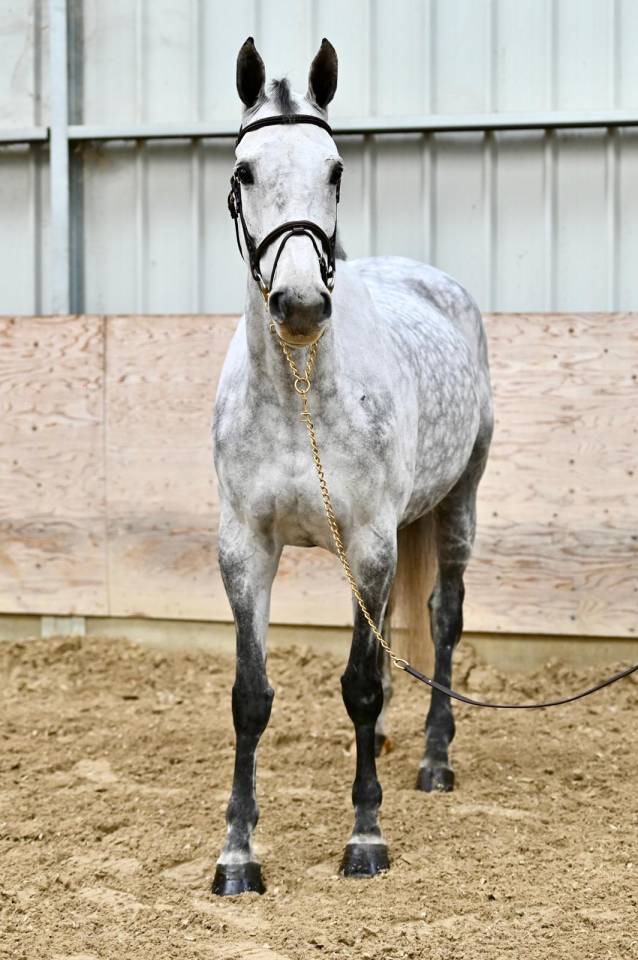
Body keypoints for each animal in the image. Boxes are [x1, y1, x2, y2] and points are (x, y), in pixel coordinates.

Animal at [212, 37, 493, 896]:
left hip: (458, 504)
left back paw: (434, 759)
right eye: (244, 172)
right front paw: (237, 855)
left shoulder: (369, 543)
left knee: (443, 618)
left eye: (335, 169)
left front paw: (366, 838)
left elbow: (361, 687)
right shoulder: (245, 549)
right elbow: (251, 696)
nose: (300, 304)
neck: (299, 390)